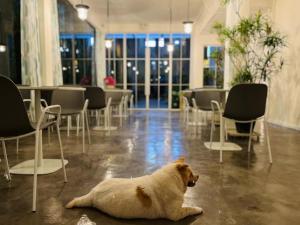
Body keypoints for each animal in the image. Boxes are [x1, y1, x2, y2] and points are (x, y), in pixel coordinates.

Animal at [66, 157, 203, 221]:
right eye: (191, 174)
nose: (198, 175)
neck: (174, 180)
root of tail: (92, 193)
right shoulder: (175, 214)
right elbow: (189, 209)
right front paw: (198, 208)